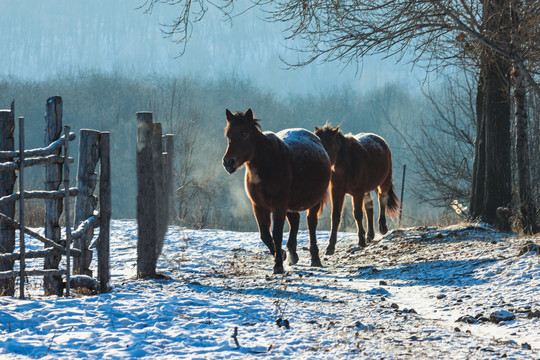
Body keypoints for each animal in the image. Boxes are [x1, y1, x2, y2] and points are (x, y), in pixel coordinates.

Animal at [221, 108, 332, 274]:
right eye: (228, 134)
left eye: (245, 133)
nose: (229, 162)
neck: (268, 164)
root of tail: (317, 140)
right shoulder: (259, 207)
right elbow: (265, 235)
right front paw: (282, 255)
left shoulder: (278, 206)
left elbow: (277, 234)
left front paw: (278, 265)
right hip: (291, 204)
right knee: (295, 221)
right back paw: (293, 255)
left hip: (313, 202)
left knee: (311, 224)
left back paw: (315, 259)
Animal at [314, 125, 398, 255]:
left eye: (330, 144)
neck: (346, 165)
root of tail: (380, 140)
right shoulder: (337, 192)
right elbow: (336, 216)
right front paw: (330, 246)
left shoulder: (357, 192)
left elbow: (358, 214)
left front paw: (361, 241)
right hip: (366, 190)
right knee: (369, 206)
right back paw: (370, 234)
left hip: (384, 182)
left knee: (382, 200)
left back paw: (382, 227)